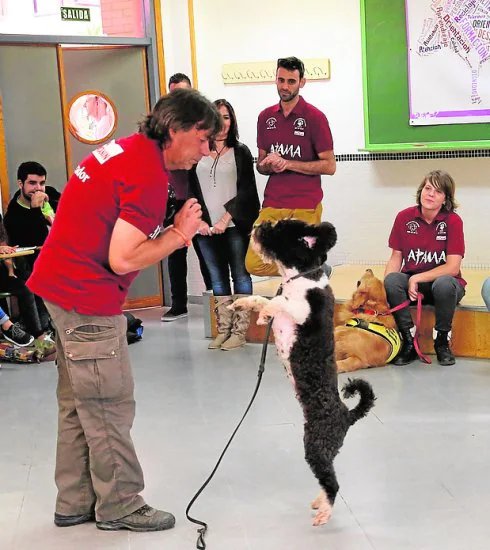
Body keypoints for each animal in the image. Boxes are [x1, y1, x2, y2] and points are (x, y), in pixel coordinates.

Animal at [230, 222, 376, 528]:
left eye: (278, 229)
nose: (257, 226)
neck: (301, 279)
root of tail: (347, 415)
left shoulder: (303, 311)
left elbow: (281, 303)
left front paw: (267, 312)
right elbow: (261, 298)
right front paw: (245, 306)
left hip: (315, 446)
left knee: (332, 483)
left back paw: (325, 511)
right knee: (327, 478)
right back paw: (320, 501)